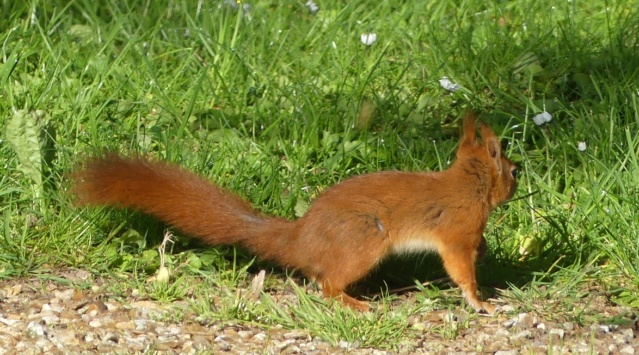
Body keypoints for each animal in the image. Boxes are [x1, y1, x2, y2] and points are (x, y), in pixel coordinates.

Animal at [72, 113, 516, 314]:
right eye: (513, 171)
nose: (517, 181)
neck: (467, 185)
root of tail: (300, 238)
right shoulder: (457, 229)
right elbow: (460, 267)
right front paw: (479, 302)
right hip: (365, 239)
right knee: (327, 284)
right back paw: (355, 303)